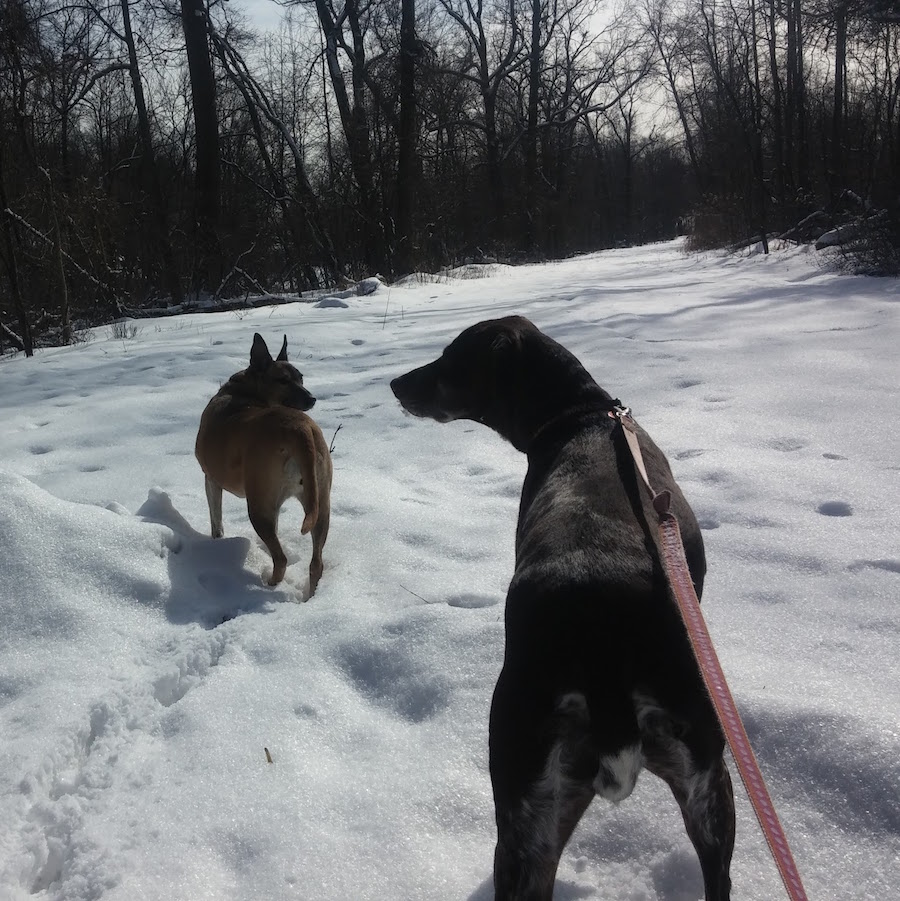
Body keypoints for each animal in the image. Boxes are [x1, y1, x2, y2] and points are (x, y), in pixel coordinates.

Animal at [195, 334, 332, 596]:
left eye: (300, 379)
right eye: (285, 380)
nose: (312, 398)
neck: (244, 391)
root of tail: (300, 429)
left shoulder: (211, 479)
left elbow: (216, 520)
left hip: (258, 502)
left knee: (281, 559)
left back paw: (269, 585)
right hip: (320, 497)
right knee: (316, 561)